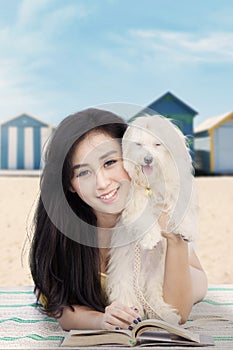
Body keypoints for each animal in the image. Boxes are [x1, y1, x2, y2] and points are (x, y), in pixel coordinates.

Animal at [105, 115, 198, 326]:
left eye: (157, 144)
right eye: (139, 144)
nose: (148, 158)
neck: (152, 183)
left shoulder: (177, 193)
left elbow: (181, 210)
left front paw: (186, 230)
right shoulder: (133, 201)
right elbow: (143, 218)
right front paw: (150, 239)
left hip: (157, 278)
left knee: (155, 297)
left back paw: (167, 315)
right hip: (124, 275)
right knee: (125, 294)